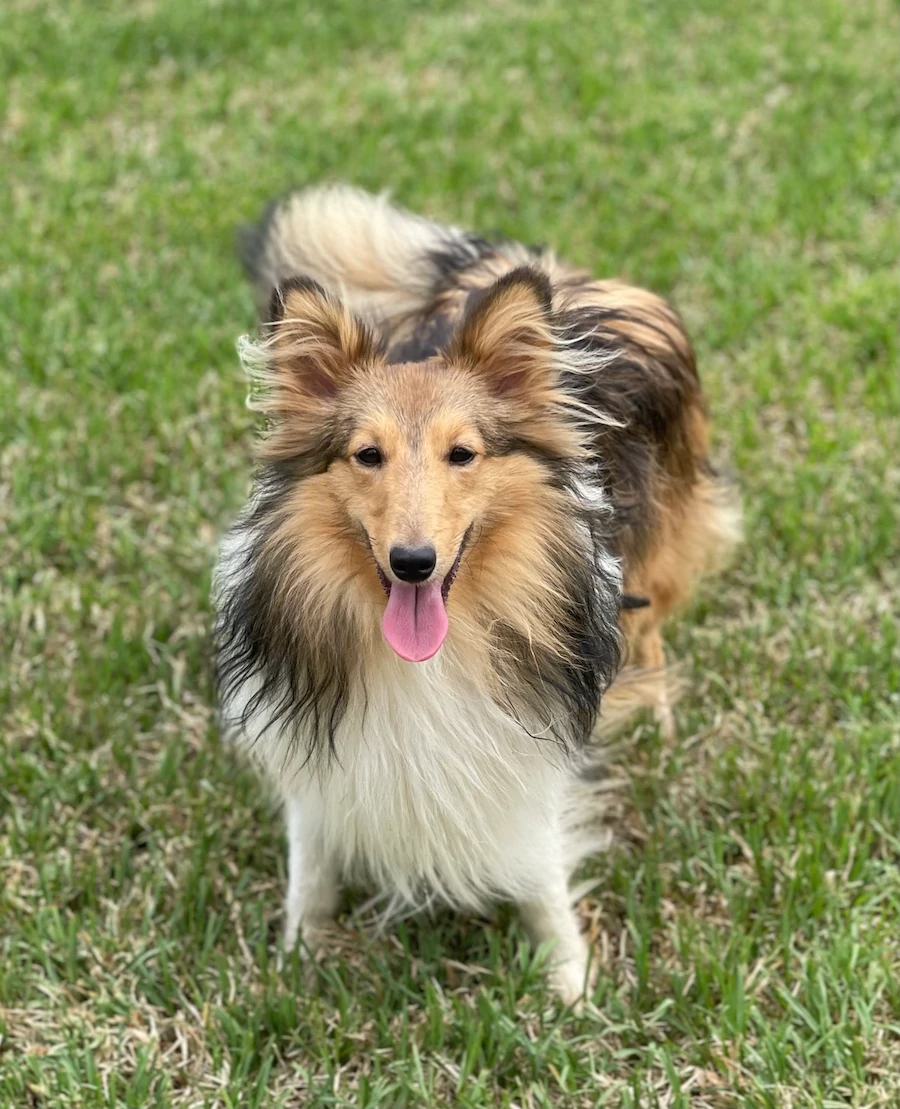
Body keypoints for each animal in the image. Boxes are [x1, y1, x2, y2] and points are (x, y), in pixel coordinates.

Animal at [213, 184, 740, 1006]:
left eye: (463, 454)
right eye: (366, 455)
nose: (413, 563)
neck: (432, 653)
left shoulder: (532, 739)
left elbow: (541, 865)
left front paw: (569, 980)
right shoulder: (317, 742)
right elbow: (312, 857)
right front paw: (298, 956)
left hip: (659, 539)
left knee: (651, 621)